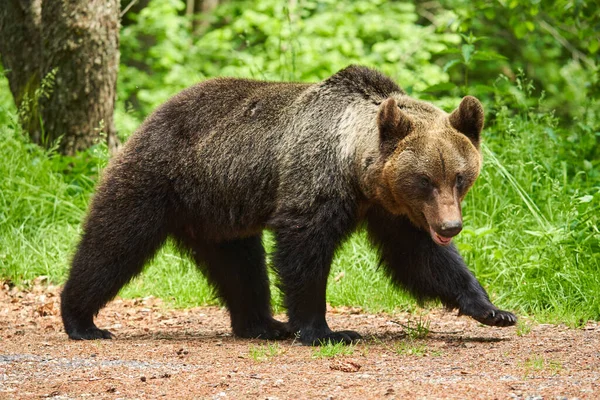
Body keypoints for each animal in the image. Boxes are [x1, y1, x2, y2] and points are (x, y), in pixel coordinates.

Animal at [63, 65, 516, 344]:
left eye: (460, 176)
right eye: (424, 179)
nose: (450, 227)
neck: (358, 173)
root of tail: (152, 114)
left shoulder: (390, 210)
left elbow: (419, 258)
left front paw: (493, 310)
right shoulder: (315, 184)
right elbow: (304, 250)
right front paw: (326, 331)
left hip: (219, 212)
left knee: (240, 268)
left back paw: (263, 324)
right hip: (158, 179)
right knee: (113, 244)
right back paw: (81, 320)